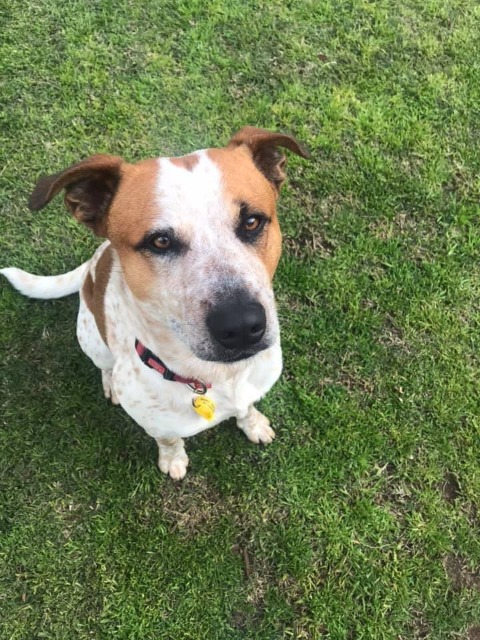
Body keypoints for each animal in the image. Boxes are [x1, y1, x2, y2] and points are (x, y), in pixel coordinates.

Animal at [1, 127, 309, 479]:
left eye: (252, 222)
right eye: (160, 241)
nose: (242, 326)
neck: (218, 378)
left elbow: (247, 407)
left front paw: (253, 423)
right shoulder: (157, 424)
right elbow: (169, 439)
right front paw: (173, 460)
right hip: (90, 337)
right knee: (103, 365)